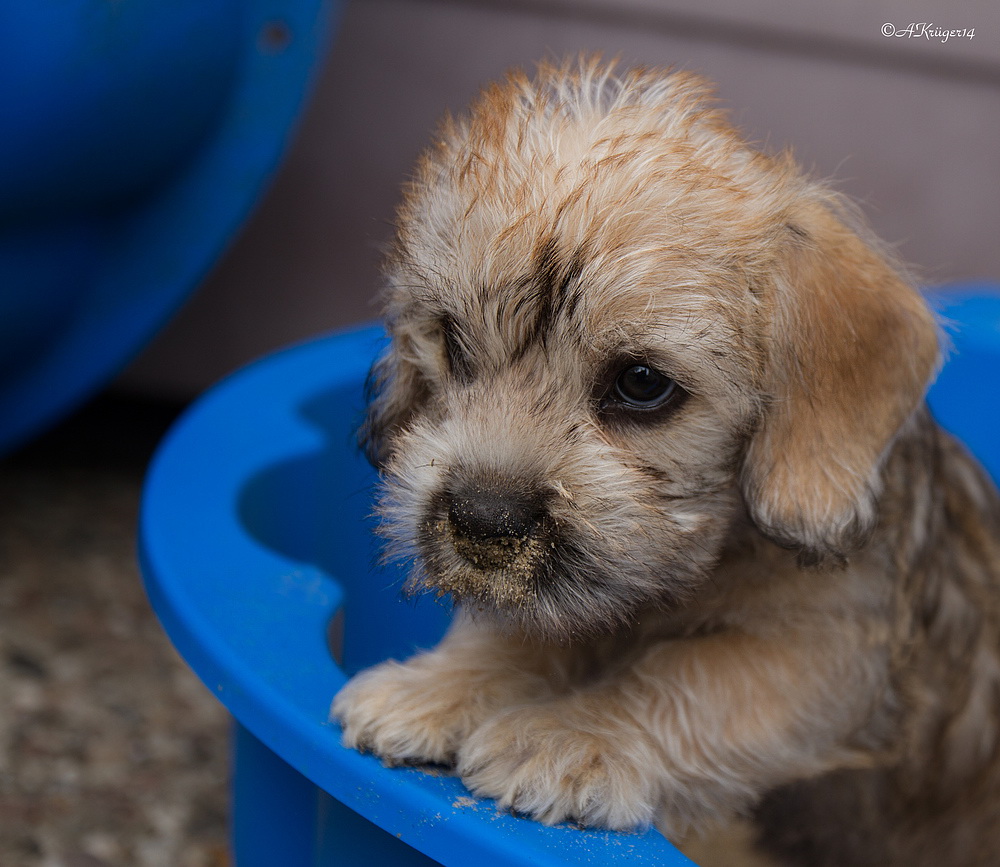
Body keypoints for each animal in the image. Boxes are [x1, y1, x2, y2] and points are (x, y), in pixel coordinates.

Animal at [332, 57, 1000, 864]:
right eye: (454, 343)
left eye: (642, 383)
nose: (482, 520)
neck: (710, 554)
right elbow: (520, 628)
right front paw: (440, 685)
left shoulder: (822, 653)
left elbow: (689, 674)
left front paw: (570, 734)